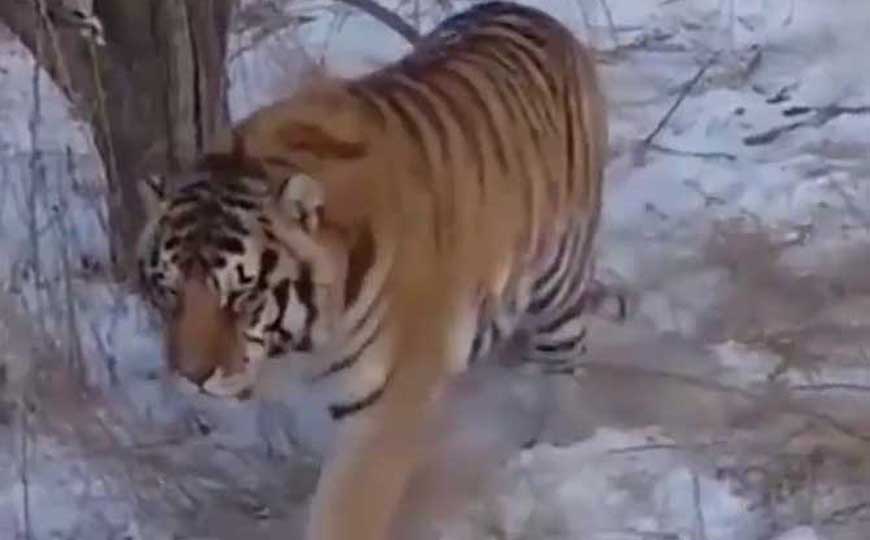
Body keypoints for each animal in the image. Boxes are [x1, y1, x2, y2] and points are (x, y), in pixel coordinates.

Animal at [135, 2, 614, 539]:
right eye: (169, 291)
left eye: (242, 297)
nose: (192, 377)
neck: (300, 341)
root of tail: (535, 14)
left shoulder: (383, 405)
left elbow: (346, 509)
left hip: (560, 281)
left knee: (564, 361)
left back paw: (556, 442)